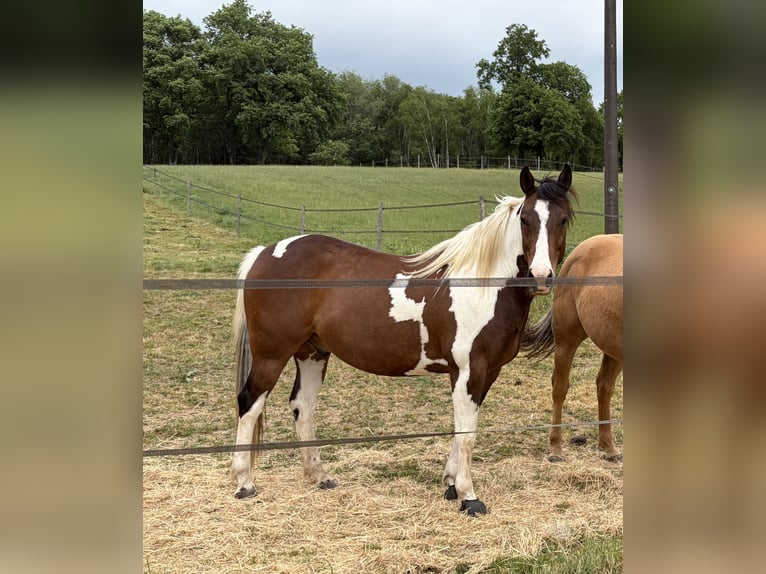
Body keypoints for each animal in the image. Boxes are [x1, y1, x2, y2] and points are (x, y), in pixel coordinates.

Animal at [230, 165, 577, 515]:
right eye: (525, 219)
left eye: (563, 219)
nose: (540, 277)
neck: (483, 285)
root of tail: (264, 254)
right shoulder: (469, 370)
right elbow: (467, 433)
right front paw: (469, 496)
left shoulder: (487, 371)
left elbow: (462, 429)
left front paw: (451, 484)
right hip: (272, 354)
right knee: (250, 403)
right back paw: (245, 483)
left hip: (312, 353)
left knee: (303, 406)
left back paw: (319, 476)